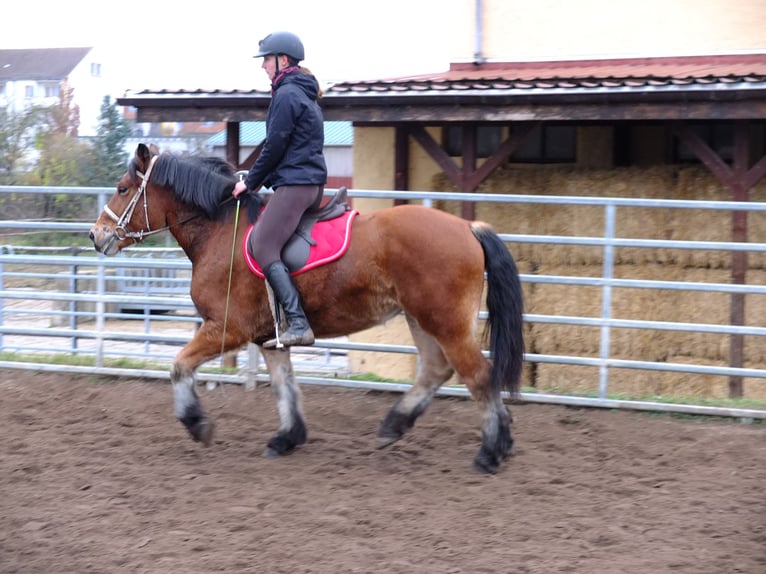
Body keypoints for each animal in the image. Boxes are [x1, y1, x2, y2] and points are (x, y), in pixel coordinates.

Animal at [87, 146, 524, 474]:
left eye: (123, 188)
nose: (95, 235)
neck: (219, 231)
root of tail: (468, 228)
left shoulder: (226, 328)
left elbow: (179, 366)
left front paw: (198, 425)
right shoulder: (268, 338)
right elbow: (285, 386)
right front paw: (287, 437)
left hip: (445, 322)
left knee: (478, 375)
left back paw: (491, 452)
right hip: (421, 318)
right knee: (436, 370)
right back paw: (395, 425)